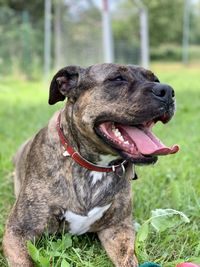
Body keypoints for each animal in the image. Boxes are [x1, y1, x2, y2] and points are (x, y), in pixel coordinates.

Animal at [2, 63, 178, 266]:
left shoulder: (118, 229)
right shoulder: (18, 231)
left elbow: (129, 259)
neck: (94, 166)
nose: (167, 91)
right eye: (117, 79)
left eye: (155, 79)